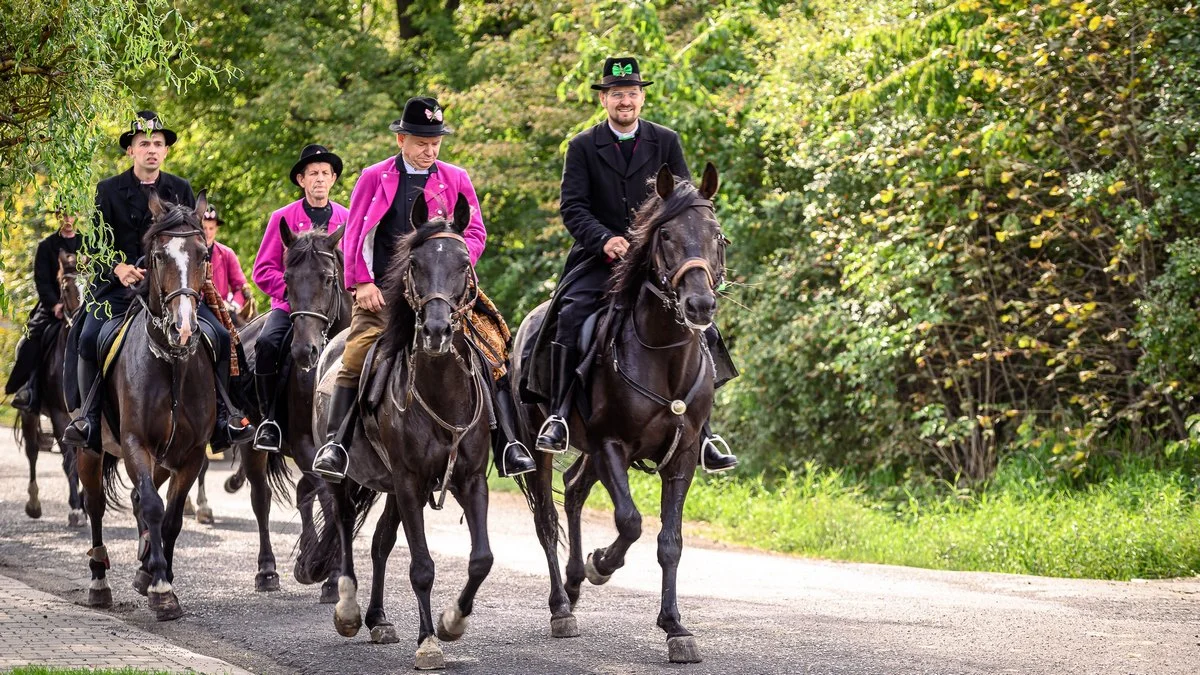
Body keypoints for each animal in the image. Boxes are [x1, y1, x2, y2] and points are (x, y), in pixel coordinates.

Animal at [77, 192, 220, 619]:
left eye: (204, 253)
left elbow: (170, 517)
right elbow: (154, 508)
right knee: (95, 505)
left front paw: (157, 576)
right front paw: (160, 588)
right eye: (157, 255)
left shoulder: (191, 454)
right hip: (90, 447)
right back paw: (99, 581)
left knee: (141, 498)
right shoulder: (135, 443)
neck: (170, 363)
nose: (183, 330)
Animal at [300, 198, 496, 667]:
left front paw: (452, 621)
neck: (441, 392)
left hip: (391, 487)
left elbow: (481, 559)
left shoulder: (468, 480)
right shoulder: (409, 482)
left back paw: (379, 620)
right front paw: (428, 642)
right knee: (343, 527)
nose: (437, 331)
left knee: (380, 543)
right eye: (415, 264)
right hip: (347, 477)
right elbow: (422, 567)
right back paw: (349, 610)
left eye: (464, 262)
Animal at [511, 163, 724, 662]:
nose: (699, 305)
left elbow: (670, 542)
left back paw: (573, 584)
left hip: (588, 449)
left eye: (717, 235)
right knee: (546, 520)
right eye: (665, 236)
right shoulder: (613, 446)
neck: (663, 354)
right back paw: (560, 606)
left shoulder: (682, 456)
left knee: (572, 490)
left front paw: (675, 628)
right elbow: (630, 522)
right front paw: (602, 564)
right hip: (540, 445)